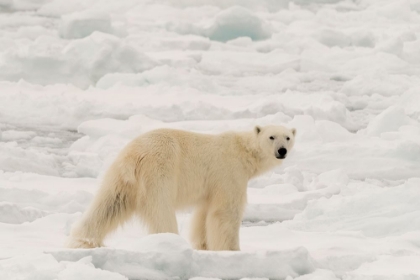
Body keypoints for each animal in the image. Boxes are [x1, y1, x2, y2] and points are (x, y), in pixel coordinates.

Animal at [67, 126, 296, 250]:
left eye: (288, 137)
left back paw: (85, 240)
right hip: (160, 170)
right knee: (161, 211)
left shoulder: (211, 185)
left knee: (108, 205)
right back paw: (170, 242)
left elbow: (203, 213)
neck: (243, 152)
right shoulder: (230, 173)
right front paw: (232, 249)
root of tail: (134, 155)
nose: (282, 150)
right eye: (271, 137)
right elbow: (226, 212)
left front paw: (204, 245)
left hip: (120, 178)